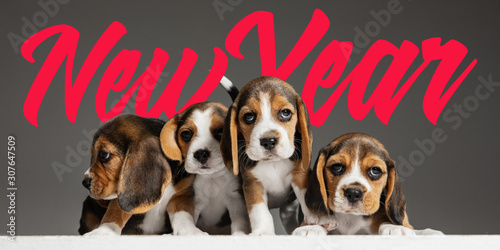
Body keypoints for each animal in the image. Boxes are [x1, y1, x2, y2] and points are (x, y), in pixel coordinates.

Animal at [160, 101, 250, 234]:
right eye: (186, 134)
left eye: (221, 131)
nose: (201, 154)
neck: (211, 177)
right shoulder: (194, 202)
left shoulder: (236, 199)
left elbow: (240, 220)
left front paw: (240, 234)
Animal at [220, 75, 314, 234]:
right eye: (249, 116)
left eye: (285, 113)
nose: (268, 141)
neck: (273, 163)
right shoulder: (253, 184)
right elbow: (260, 212)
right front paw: (263, 232)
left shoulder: (300, 176)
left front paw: (310, 226)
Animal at [292, 133, 446, 236]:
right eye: (337, 167)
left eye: (375, 170)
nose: (353, 193)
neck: (351, 218)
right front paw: (312, 228)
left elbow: (388, 221)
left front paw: (395, 228)